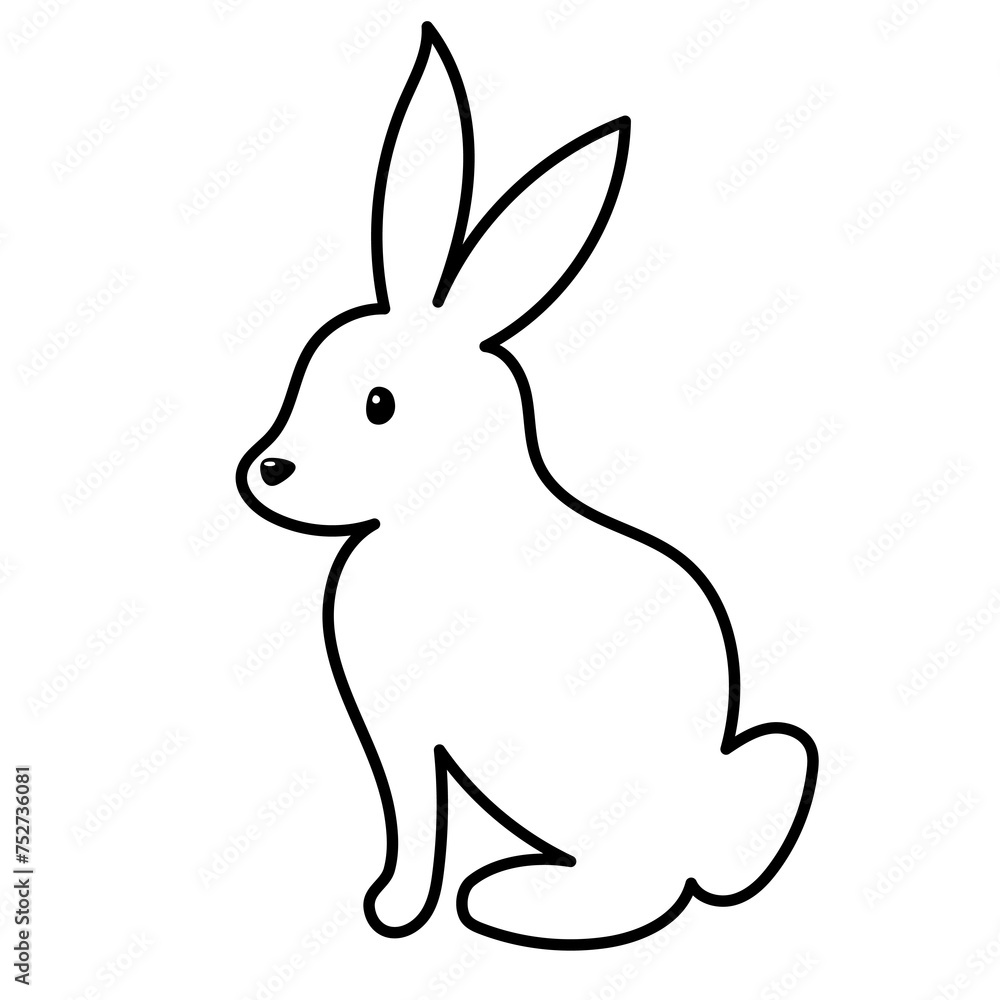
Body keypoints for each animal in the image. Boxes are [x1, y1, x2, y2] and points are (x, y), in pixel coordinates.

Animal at [235, 21, 817, 951]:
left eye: (378, 403)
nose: (268, 470)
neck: (442, 505)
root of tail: (698, 851)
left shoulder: (404, 736)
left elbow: (415, 821)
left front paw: (393, 911)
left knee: (636, 889)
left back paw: (512, 901)